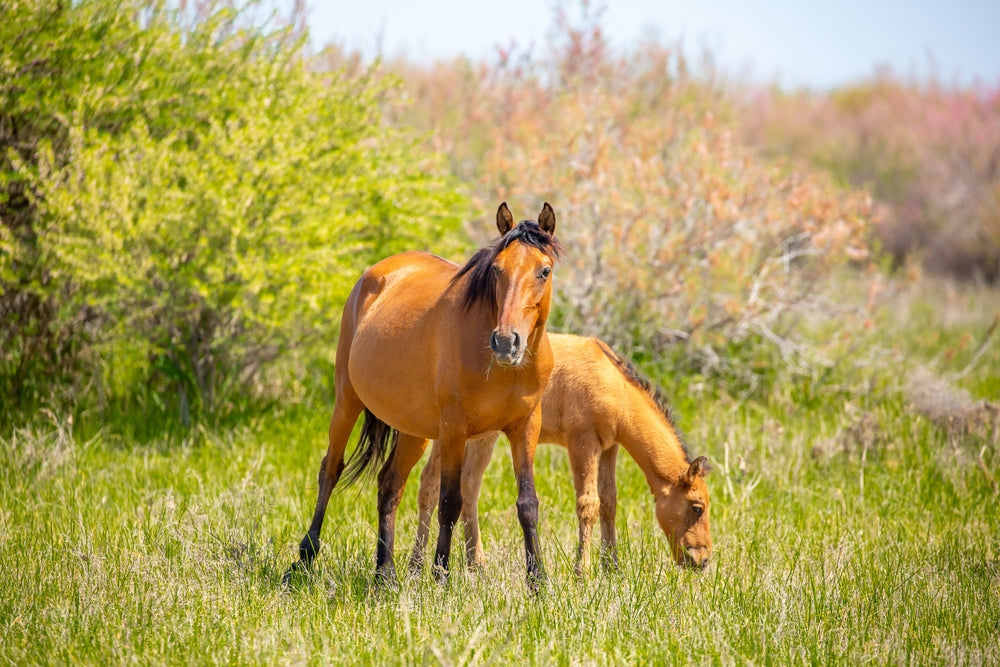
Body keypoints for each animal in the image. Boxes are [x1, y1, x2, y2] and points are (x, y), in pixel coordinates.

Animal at [286, 203, 562, 587]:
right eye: (497, 270)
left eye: (544, 271)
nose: (506, 342)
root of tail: (375, 274)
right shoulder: (455, 430)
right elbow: (450, 501)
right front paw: (441, 574)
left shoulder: (525, 428)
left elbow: (528, 503)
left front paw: (538, 582)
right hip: (347, 401)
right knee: (331, 470)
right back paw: (305, 558)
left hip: (413, 430)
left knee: (389, 486)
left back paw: (385, 574)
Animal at [409, 333, 712, 575]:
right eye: (697, 507)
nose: (704, 560)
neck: (615, 386)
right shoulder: (582, 442)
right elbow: (588, 504)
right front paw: (583, 572)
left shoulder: (609, 448)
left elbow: (609, 502)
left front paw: (612, 568)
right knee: (430, 484)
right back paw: (417, 564)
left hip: (481, 435)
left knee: (467, 485)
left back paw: (476, 564)